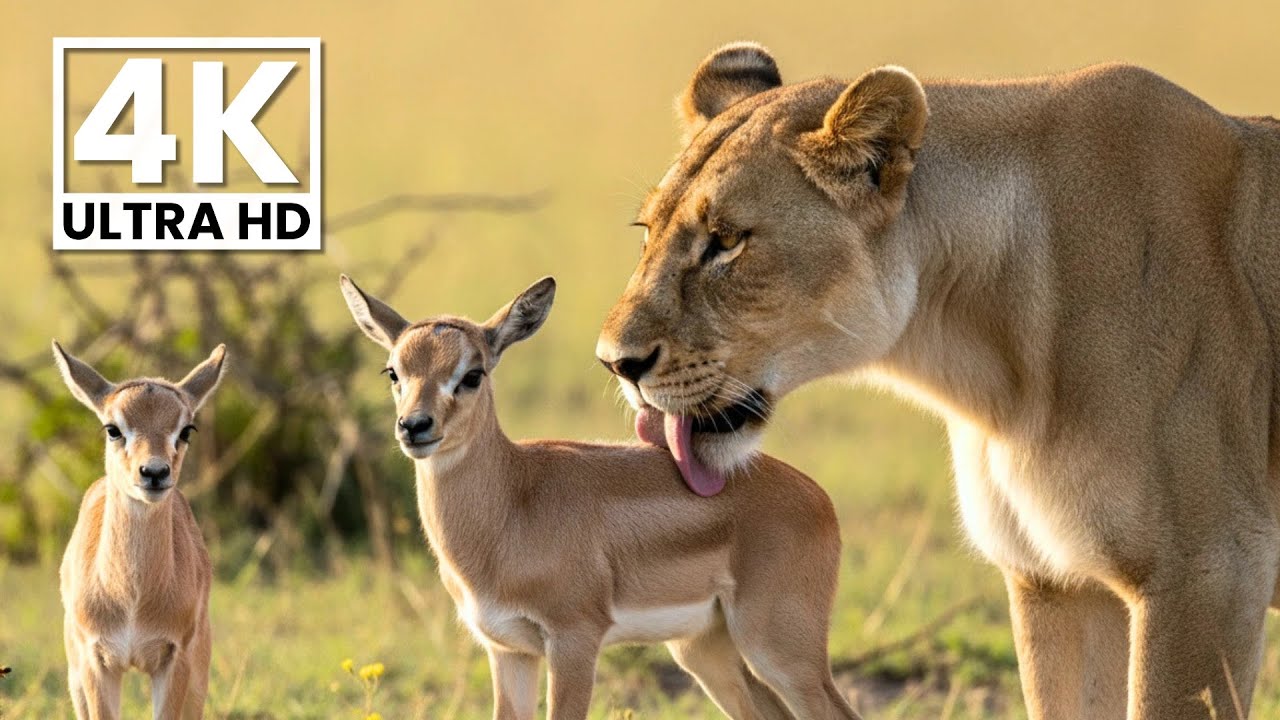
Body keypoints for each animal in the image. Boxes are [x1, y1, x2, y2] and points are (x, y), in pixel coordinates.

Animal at [54, 341, 225, 720]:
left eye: (186, 429)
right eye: (112, 428)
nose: (154, 473)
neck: (131, 595)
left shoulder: (175, 659)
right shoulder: (96, 662)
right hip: (76, 676)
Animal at [340, 274, 859, 720]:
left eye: (472, 374)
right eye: (393, 371)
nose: (414, 426)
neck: (513, 501)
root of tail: (820, 498)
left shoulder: (574, 640)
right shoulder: (508, 650)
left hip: (779, 649)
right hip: (705, 649)